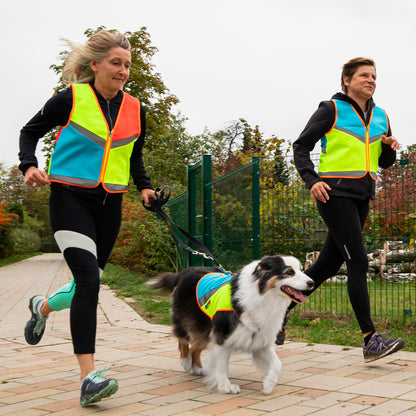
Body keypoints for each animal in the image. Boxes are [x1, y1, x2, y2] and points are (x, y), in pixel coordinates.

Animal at [148, 255, 314, 394]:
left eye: (301, 270)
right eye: (289, 272)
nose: (311, 283)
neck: (263, 294)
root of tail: (184, 272)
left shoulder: (261, 339)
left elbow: (277, 364)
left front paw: (268, 384)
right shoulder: (222, 336)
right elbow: (222, 366)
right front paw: (226, 386)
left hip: (206, 330)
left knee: (195, 347)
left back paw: (199, 369)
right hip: (190, 320)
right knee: (183, 340)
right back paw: (186, 362)